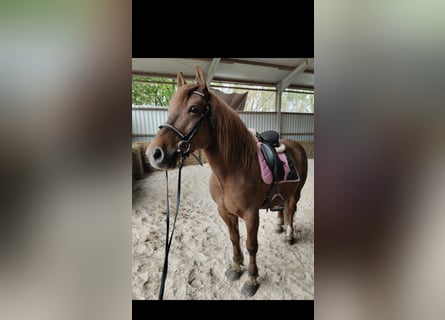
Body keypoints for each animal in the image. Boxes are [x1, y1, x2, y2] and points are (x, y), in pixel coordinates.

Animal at [146, 65, 306, 298]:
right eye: (170, 107)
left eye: (194, 109)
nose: (154, 154)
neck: (232, 171)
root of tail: (297, 144)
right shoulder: (225, 212)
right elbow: (234, 239)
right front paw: (236, 268)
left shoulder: (251, 215)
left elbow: (251, 245)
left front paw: (251, 280)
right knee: (283, 208)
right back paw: (280, 227)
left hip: (297, 192)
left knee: (291, 210)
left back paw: (289, 235)